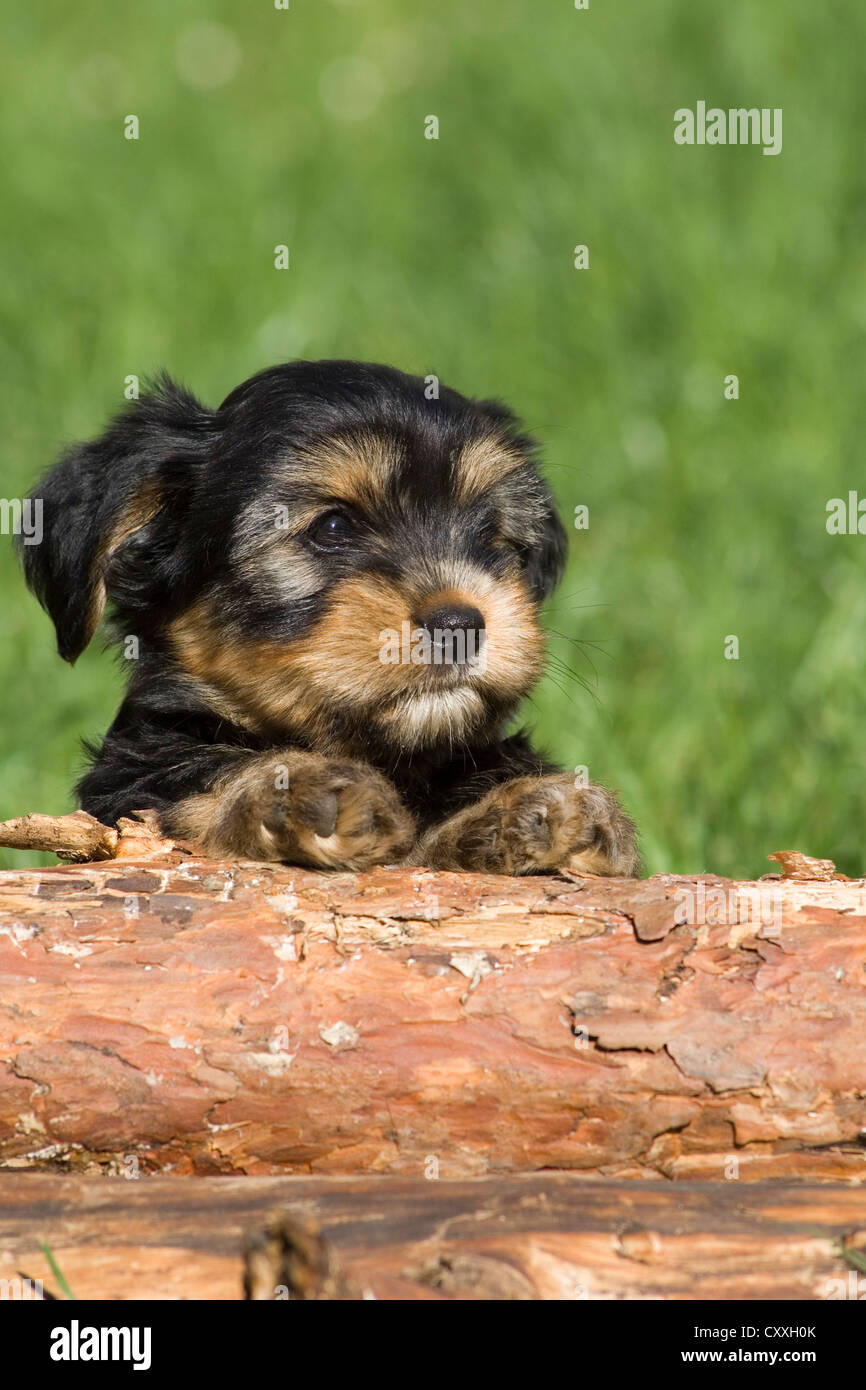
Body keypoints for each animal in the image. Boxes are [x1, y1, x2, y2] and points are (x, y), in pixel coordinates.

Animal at [20, 364, 639, 872]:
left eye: (490, 533)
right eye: (333, 528)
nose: (459, 624)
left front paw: (529, 808)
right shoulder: (132, 782)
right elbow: (193, 785)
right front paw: (299, 789)